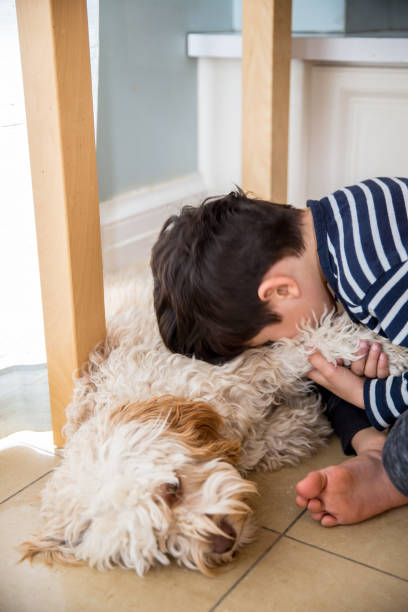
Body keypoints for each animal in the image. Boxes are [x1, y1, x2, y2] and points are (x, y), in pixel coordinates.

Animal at [21, 272, 408, 572]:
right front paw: (303, 421)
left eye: (172, 489)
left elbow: (305, 348)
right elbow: (269, 438)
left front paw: (388, 353)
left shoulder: (238, 367)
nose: (223, 543)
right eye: (161, 541)